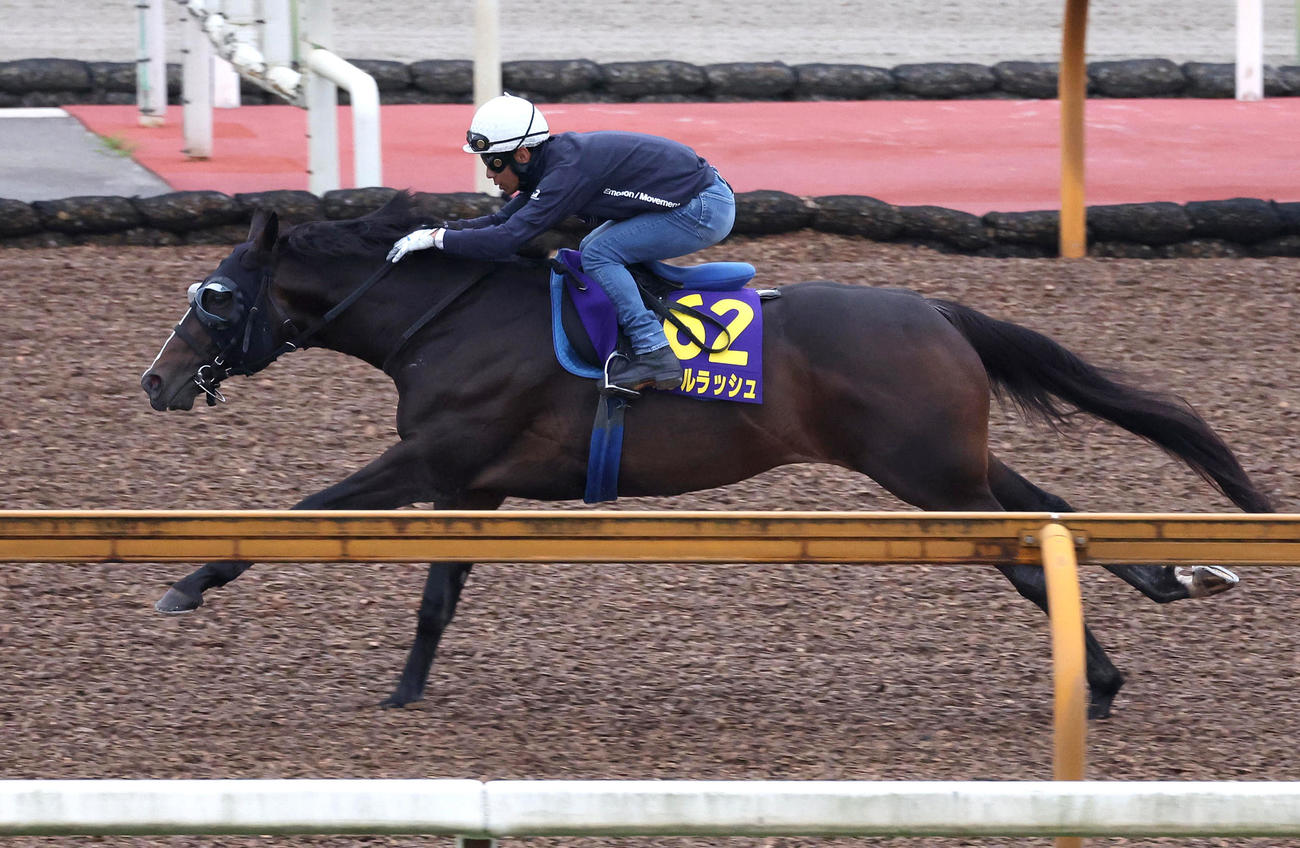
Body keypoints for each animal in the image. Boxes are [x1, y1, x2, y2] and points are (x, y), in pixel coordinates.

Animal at [139, 192, 1273, 719]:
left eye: (218, 296)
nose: (155, 382)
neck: (452, 315)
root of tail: (940, 311)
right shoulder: (474, 482)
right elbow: (437, 595)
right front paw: (408, 688)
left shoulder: (430, 459)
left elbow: (304, 510)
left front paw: (187, 581)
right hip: (948, 463)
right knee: (1052, 514)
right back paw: (1163, 593)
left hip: (929, 473)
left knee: (1025, 549)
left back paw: (1109, 665)